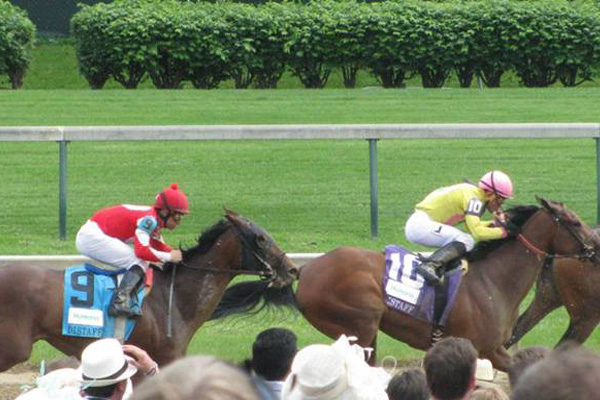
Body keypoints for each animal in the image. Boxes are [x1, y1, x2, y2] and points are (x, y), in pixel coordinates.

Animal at [210, 198, 600, 370]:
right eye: (573, 222)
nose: (596, 246)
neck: (494, 281)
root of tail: (304, 271)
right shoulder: (490, 349)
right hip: (361, 322)